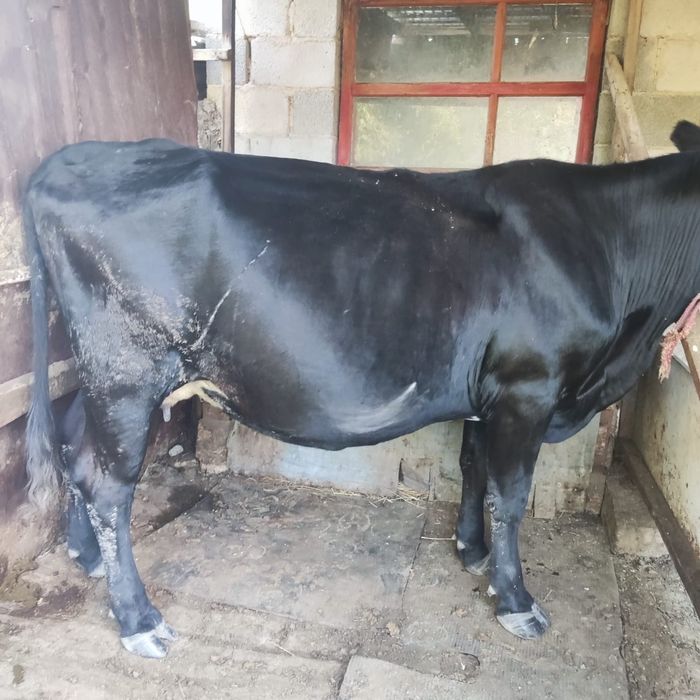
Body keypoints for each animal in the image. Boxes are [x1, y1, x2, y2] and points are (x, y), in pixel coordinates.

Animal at [23, 121, 700, 658]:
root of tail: (66, 160)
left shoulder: (488, 392)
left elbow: (472, 467)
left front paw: (471, 550)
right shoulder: (527, 388)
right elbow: (510, 496)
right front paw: (516, 601)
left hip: (98, 373)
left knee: (75, 449)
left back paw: (86, 557)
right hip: (126, 372)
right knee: (109, 487)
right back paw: (139, 619)